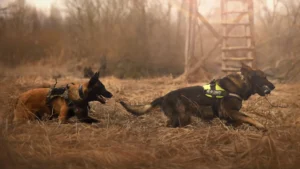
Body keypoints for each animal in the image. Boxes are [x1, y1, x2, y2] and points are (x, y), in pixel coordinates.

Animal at [120, 63, 276, 131]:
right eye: (264, 77)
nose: (274, 86)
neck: (242, 85)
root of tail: (163, 97)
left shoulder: (230, 114)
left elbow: (240, 120)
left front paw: (231, 126)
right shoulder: (230, 111)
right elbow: (249, 117)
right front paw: (261, 126)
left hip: (184, 117)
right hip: (181, 117)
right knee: (168, 125)